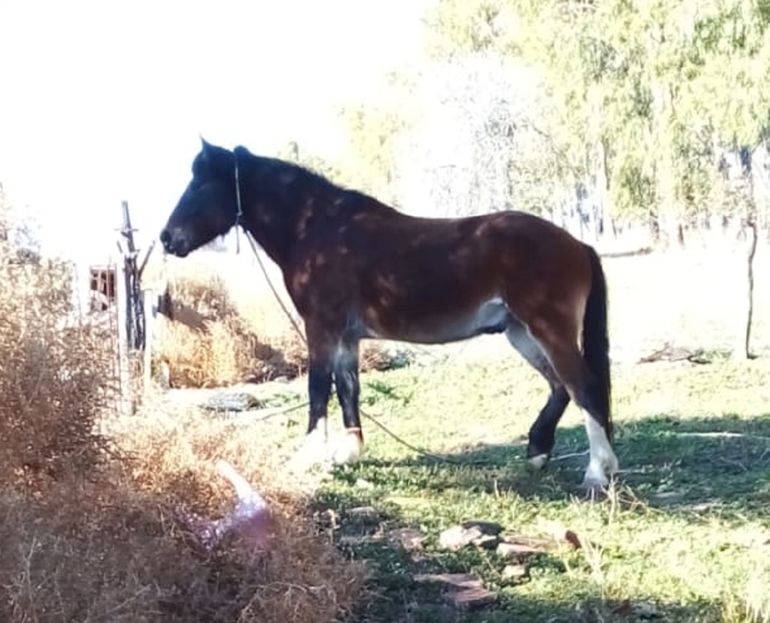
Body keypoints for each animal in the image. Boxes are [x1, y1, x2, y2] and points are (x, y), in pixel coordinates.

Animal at [160, 139, 619, 491]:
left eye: (201, 185)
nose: (167, 238)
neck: (317, 230)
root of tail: (578, 244)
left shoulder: (320, 328)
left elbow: (317, 388)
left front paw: (307, 457)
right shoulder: (347, 336)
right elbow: (348, 388)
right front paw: (348, 452)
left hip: (546, 329)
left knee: (583, 386)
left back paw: (598, 471)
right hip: (520, 332)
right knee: (561, 387)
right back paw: (539, 451)